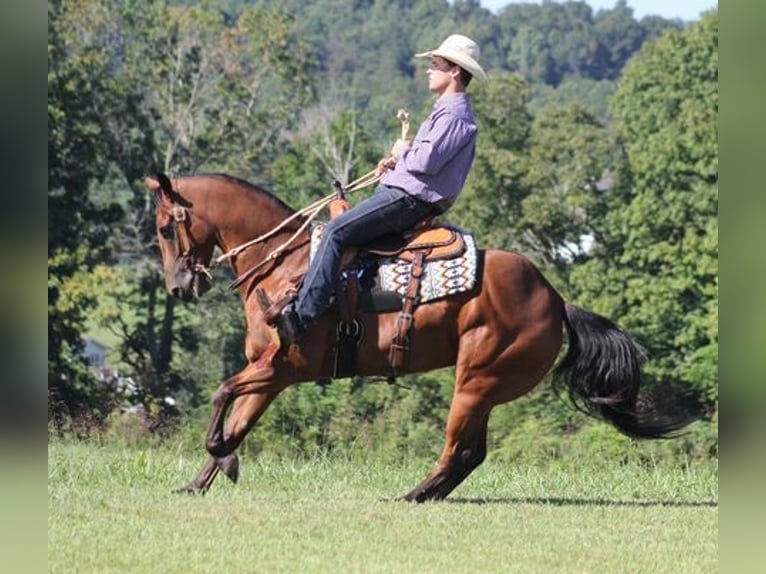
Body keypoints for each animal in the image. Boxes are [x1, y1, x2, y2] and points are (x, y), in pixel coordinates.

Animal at [145, 172, 699, 502]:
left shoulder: (285, 368)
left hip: (475, 381)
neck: (287, 265)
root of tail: (556, 300)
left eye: (166, 228)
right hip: (483, 388)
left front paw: (223, 458)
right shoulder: (270, 372)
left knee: (459, 450)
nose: (178, 285)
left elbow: (222, 396)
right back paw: (428, 493)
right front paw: (204, 477)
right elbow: (239, 419)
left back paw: (414, 494)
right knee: (472, 453)